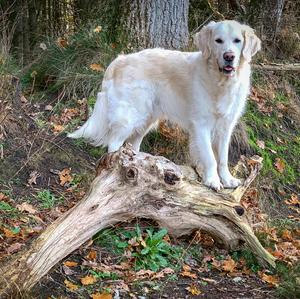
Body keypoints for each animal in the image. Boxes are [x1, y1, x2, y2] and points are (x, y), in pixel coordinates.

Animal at [68, 20, 260, 190]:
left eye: (237, 41)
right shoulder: (201, 125)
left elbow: (223, 158)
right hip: (131, 116)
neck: (220, 82)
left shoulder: (226, 126)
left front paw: (227, 179)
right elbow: (210, 157)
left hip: (146, 120)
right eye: (218, 40)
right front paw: (213, 180)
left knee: (133, 144)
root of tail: (119, 60)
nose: (229, 57)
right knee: (114, 143)